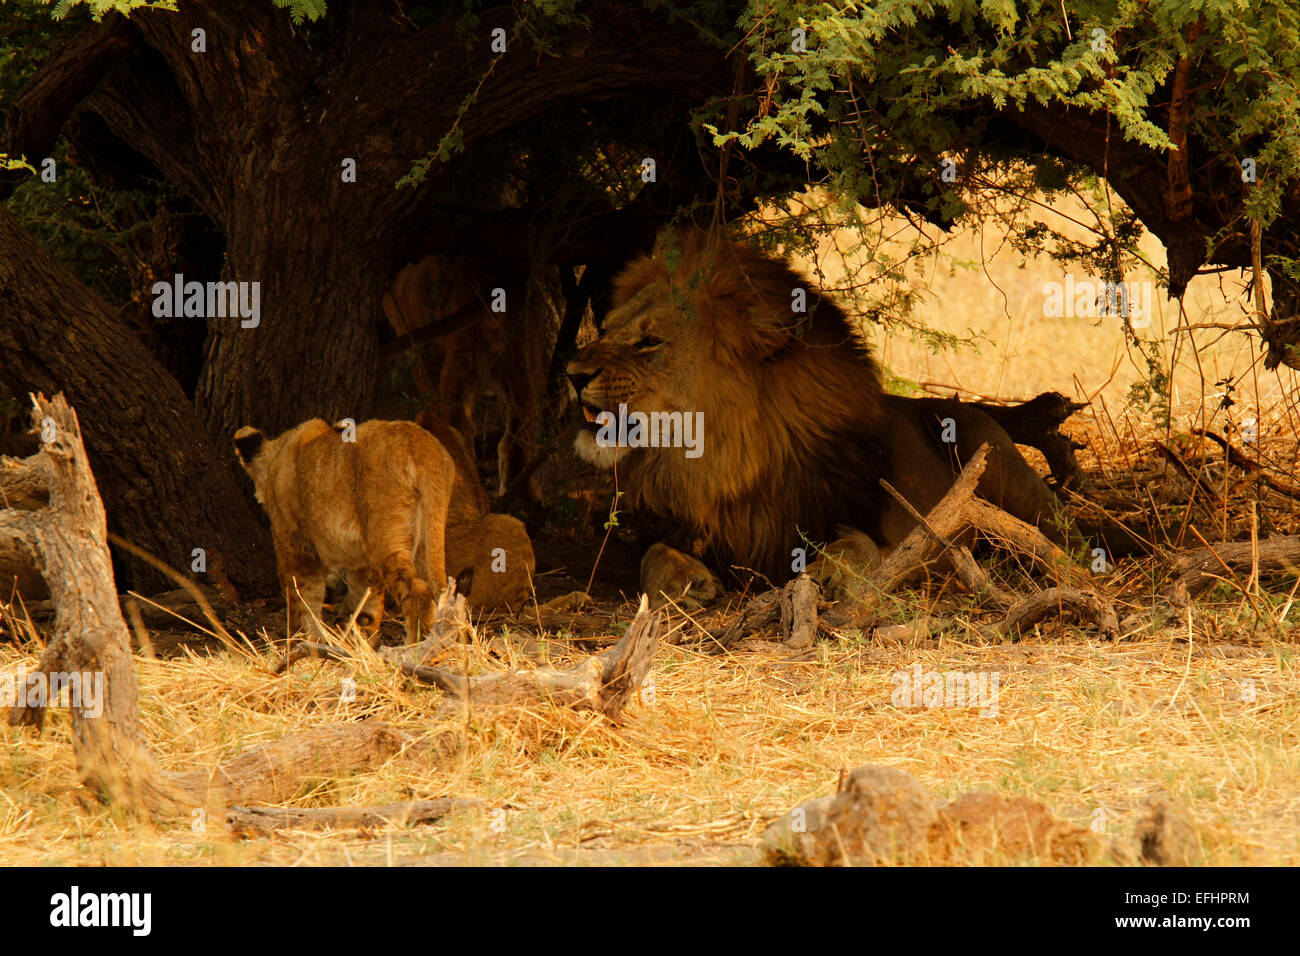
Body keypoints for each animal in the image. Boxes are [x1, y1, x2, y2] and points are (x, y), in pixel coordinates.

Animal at [234, 418, 455, 644]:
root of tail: (419, 443)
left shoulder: (295, 549)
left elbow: (302, 603)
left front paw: (302, 642)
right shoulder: (363, 565)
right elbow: (365, 607)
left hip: (385, 537)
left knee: (418, 590)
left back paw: (416, 645)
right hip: (426, 540)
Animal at [565, 229, 1142, 601]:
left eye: (649, 342)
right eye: (607, 328)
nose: (571, 374)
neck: (717, 464)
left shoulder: (884, 531)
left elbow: (854, 547)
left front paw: (833, 576)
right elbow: (653, 557)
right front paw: (685, 583)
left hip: (1007, 474)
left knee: (1067, 541)